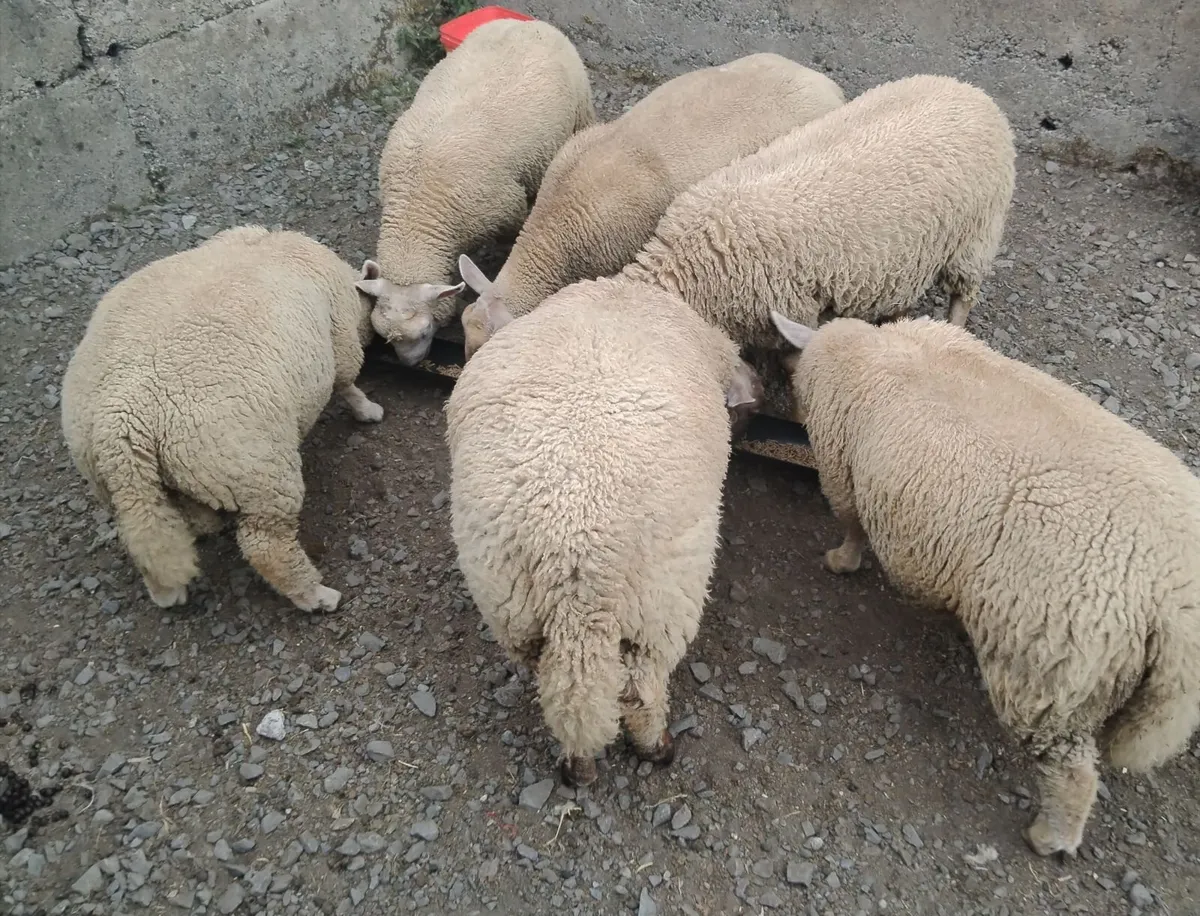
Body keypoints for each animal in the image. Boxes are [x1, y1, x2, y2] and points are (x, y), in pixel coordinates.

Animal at [61, 225, 386, 614]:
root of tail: (123, 422)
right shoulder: (340, 339)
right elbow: (346, 381)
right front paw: (368, 410)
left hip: (127, 483)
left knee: (152, 532)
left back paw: (171, 584)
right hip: (258, 469)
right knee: (265, 546)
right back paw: (316, 596)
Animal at [369, 17, 595, 365]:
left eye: (425, 331)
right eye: (383, 334)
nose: (410, 364)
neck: (415, 207)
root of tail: (528, 23)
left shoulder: (505, 209)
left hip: (581, 109)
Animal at [446, 277, 764, 785]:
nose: (762, 391)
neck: (626, 293)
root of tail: (574, 570)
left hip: (514, 611)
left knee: (564, 690)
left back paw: (577, 764)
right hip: (659, 609)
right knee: (639, 688)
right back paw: (657, 747)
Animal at [769, 310, 1200, 858]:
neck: (878, 347)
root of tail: (1174, 597)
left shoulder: (843, 471)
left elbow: (851, 526)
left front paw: (840, 561)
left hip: (1049, 674)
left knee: (1072, 773)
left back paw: (1048, 837)